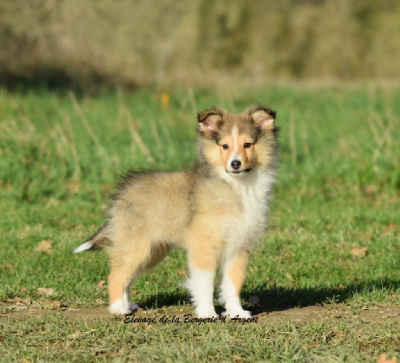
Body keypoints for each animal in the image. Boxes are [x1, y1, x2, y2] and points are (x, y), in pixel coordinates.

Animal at [76, 105, 282, 318]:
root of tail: (123, 190)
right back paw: (118, 308)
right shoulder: (203, 246)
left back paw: (128, 305)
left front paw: (237, 313)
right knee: (116, 274)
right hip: (137, 246)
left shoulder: (238, 248)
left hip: (153, 251)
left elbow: (233, 283)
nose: (235, 164)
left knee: (127, 275)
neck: (238, 186)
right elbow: (206, 283)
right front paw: (207, 313)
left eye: (247, 144)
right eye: (224, 146)